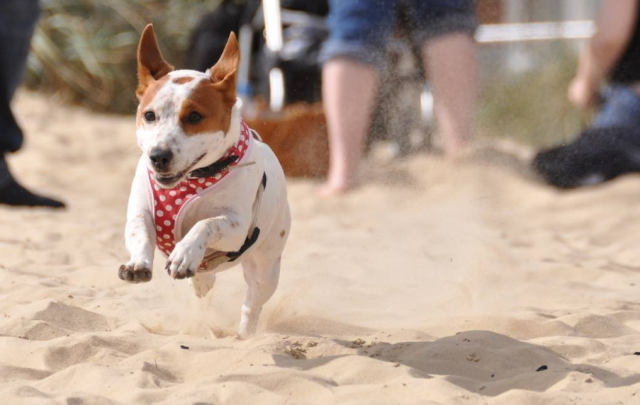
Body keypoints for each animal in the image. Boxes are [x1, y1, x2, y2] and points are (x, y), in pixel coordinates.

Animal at [119, 23, 292, 336]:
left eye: (195, 116)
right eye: (149, 115)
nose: (158, 156)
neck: (191, 180)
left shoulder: (237, 228)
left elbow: (206, 223)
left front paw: (185, 252)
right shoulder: (141, 211)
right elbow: (140, 232)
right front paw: (138, 263)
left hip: (266, 264)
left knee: (253, 302)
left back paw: (245, 335)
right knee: (205, 278)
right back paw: (199, 278)